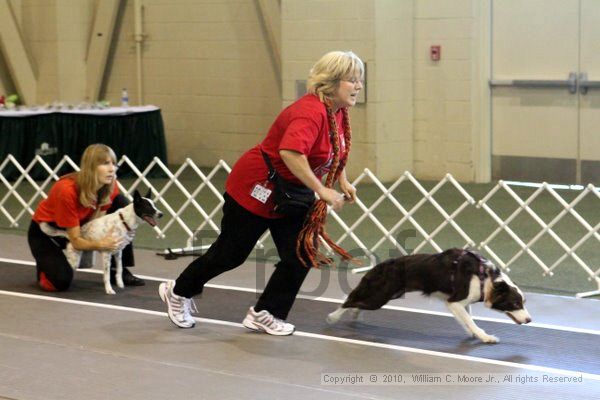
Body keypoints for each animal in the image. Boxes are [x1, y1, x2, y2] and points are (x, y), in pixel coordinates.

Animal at [328, 247, 528, 344]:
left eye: (523, 302)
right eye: (516, 304)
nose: (529, 320)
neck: (485, 278)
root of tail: (382, 265)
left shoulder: (461, 302)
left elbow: (467, 318)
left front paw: (472, 333)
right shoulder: (453, 302)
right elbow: (470, 320)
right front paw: (485, 337)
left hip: (389, 294)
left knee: (356, 300)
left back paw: (353, 314)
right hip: (380, 297)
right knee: (349, 300)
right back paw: (333, 317)